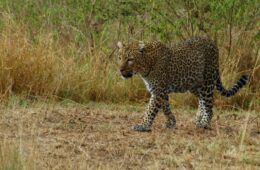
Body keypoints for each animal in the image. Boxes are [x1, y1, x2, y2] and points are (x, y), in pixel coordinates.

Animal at [117, 37, 249, 132]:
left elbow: (150, 110)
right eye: (119, 57)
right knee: (202, 100)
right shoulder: (160, 91)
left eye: (130, 59)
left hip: (208, 81)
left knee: (209, 105)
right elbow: (166, 108)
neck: (147, 65)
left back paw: (204, 123)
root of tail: (212, 43)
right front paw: (171, 122)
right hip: (194, 84)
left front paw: (143, 126)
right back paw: (199, 118)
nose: (120, 69)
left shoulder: (158, 90)